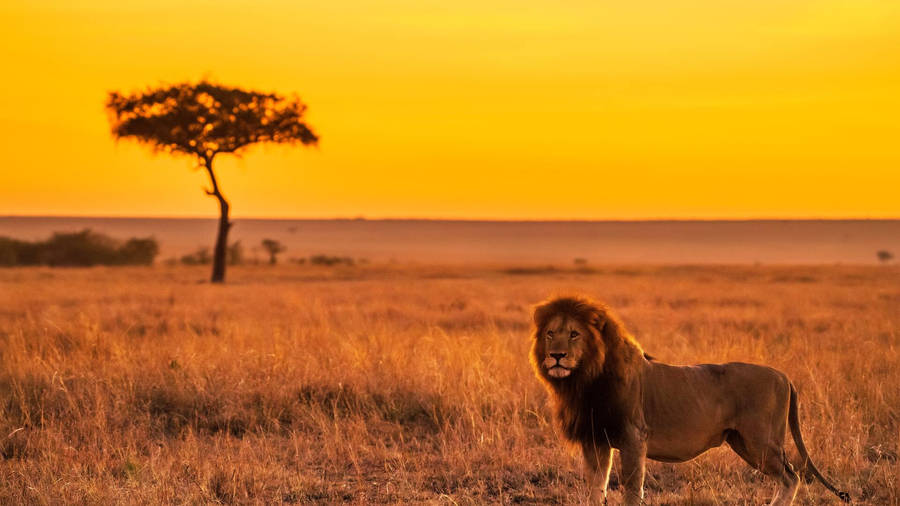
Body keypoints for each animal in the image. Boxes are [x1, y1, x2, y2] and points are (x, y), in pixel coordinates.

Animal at [529, 296, 850, 506]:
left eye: (574, 334)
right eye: (550, 333)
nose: (556, 356)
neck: (584, 380)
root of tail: (783, 375)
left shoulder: (634, 437)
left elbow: (632, 489)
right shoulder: (595, 439)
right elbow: (596, 488)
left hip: (761, 441)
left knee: (791, 477)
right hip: (743, 443)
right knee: (788, 477)